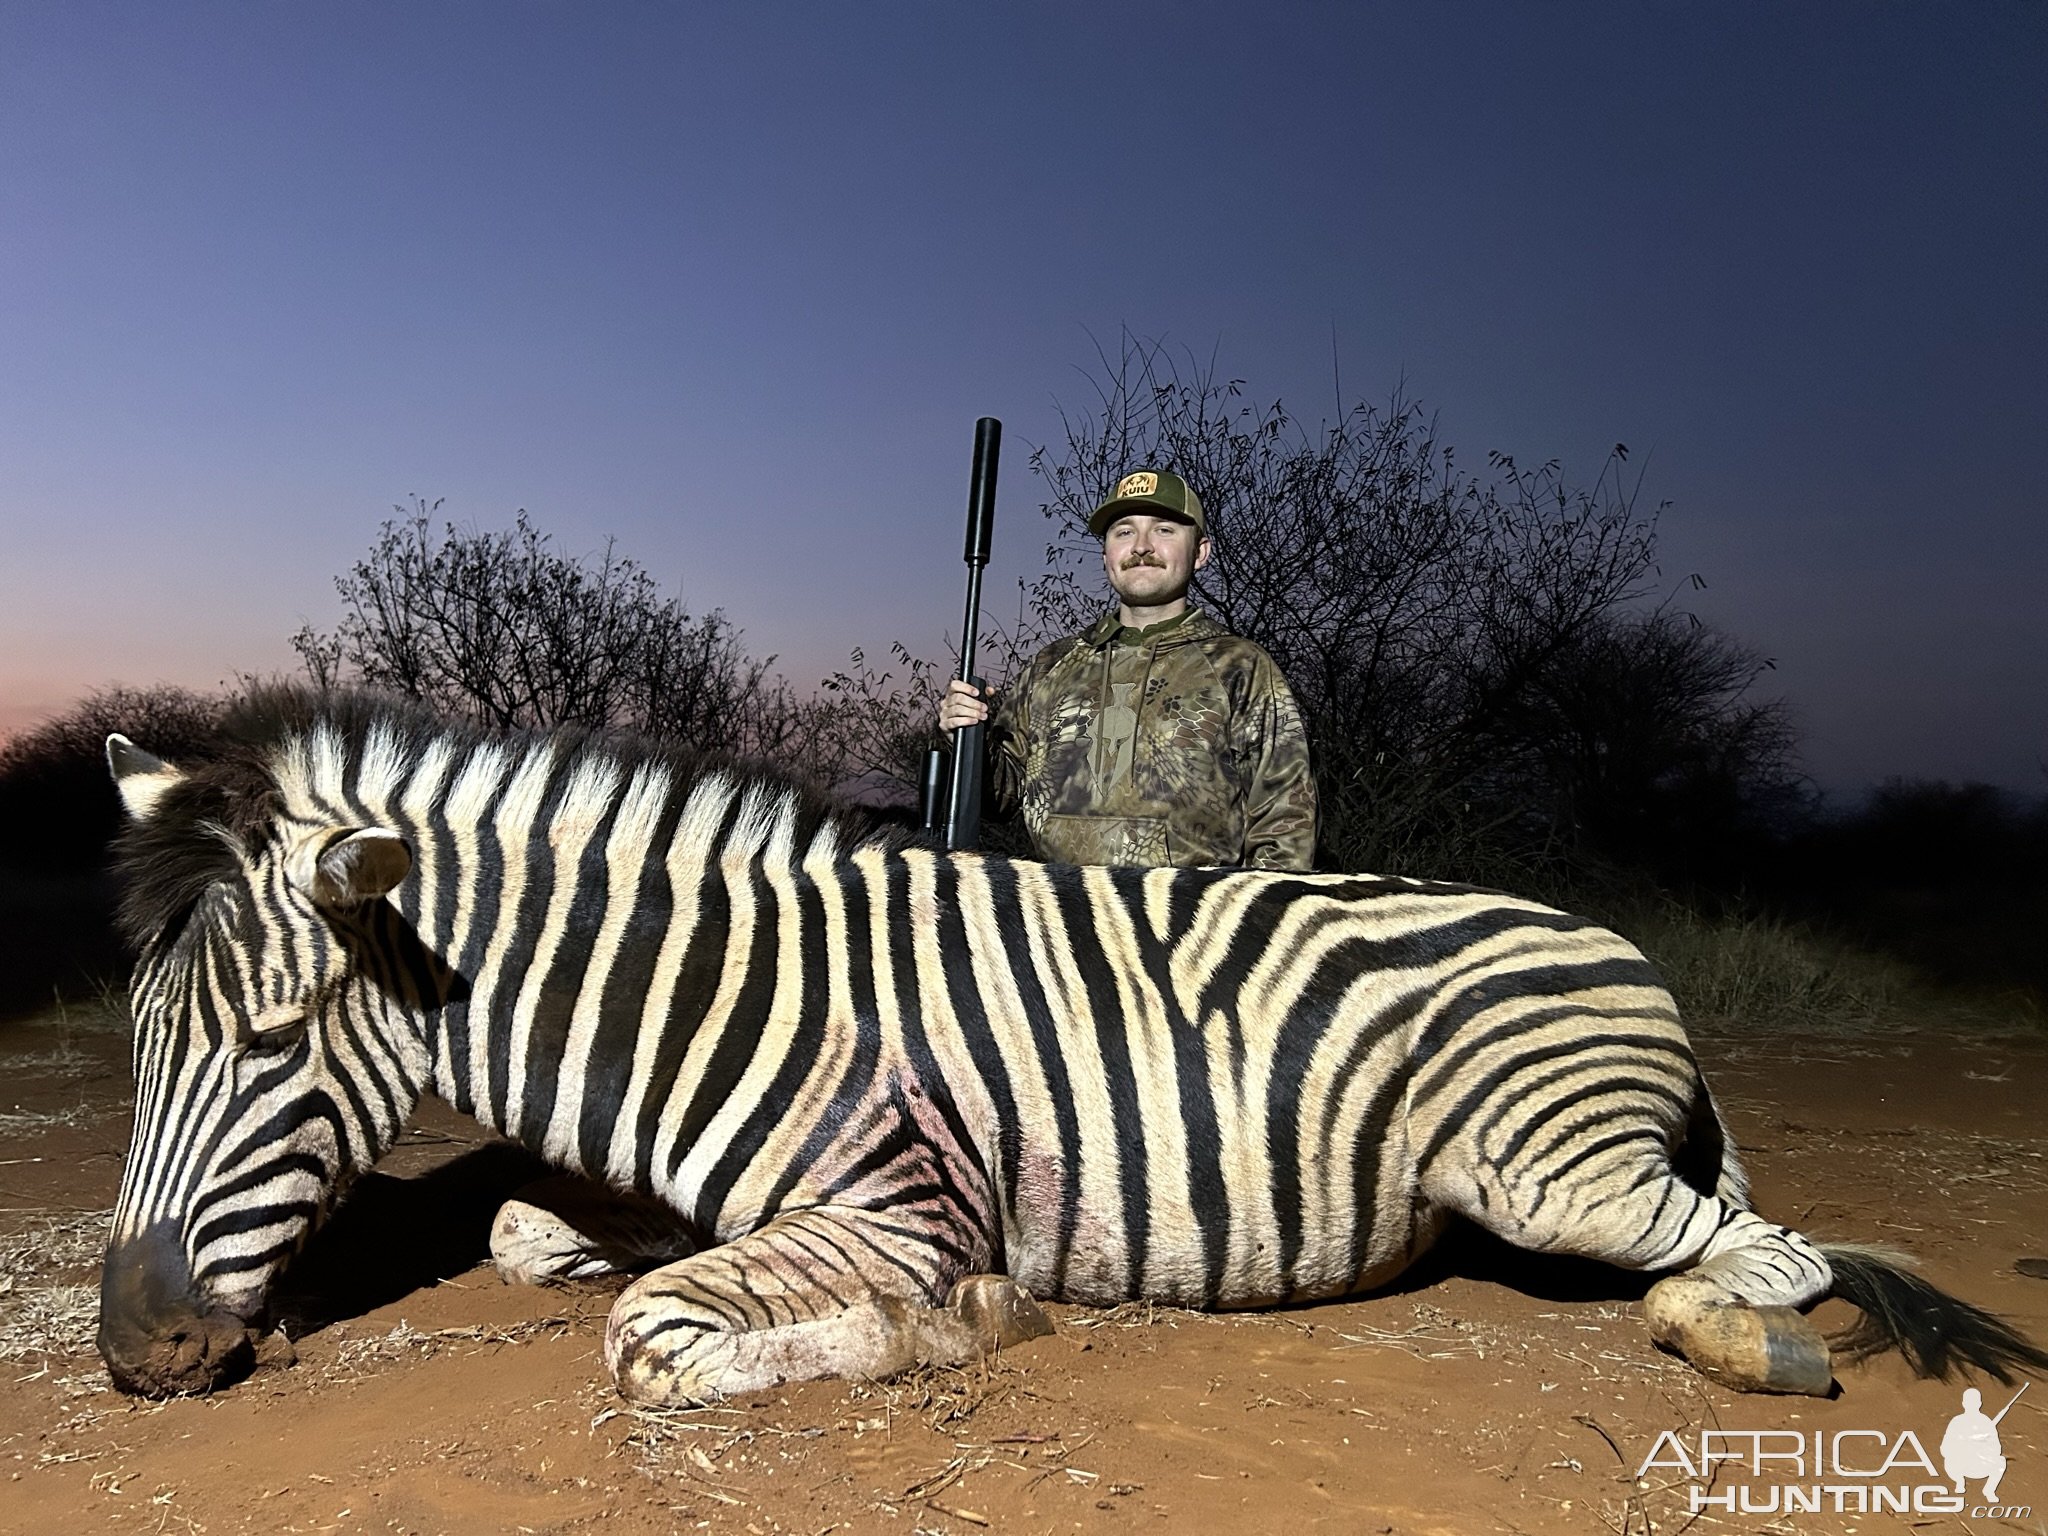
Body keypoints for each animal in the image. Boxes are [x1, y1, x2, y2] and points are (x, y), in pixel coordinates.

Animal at [99, 696, 2048, 1409]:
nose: (136, 1352)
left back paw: (1743, 1345)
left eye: (268, 1040)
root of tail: (1610, 943)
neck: (703, 1002)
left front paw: (968, 1326)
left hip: (1551, 1167)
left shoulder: (895, 1203)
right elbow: (525, 1232)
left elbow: (654, 1342)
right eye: (137, 1036)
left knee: (1770, 1249)